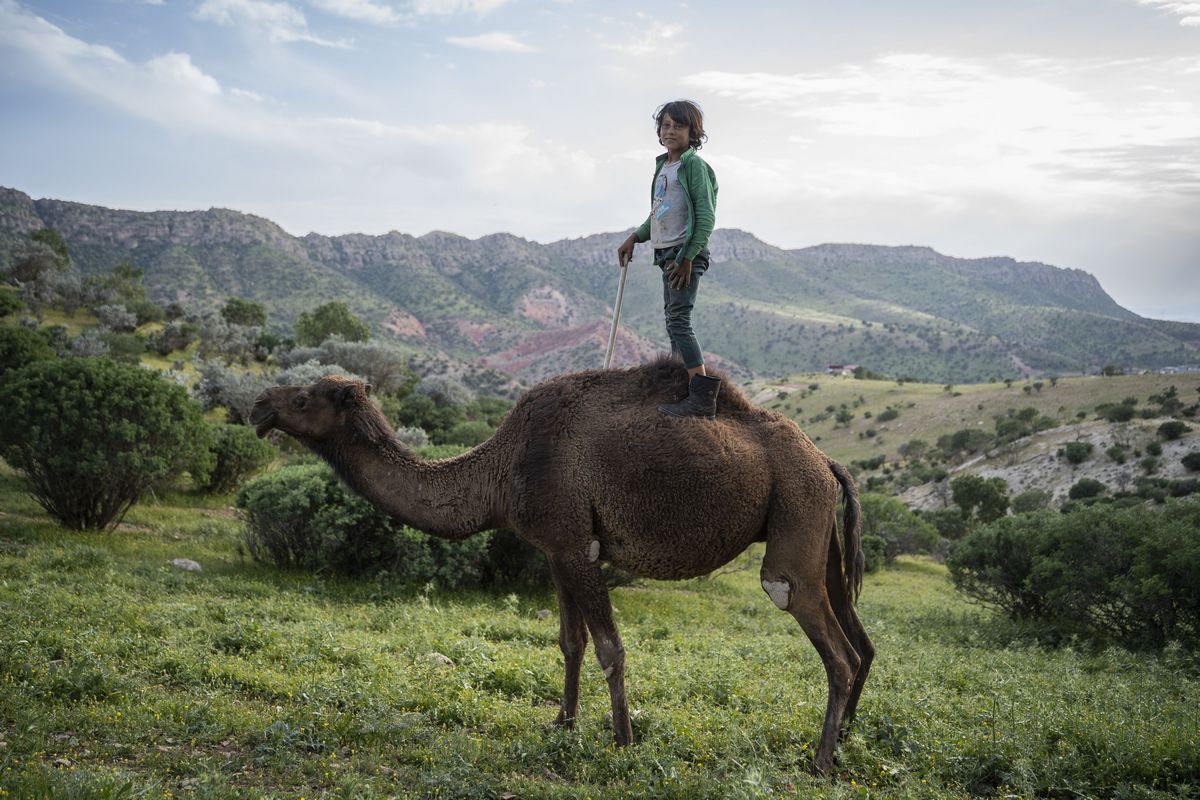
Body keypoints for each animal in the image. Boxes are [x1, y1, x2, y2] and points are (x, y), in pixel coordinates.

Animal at [250, 359, 873, 772]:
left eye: (305, 399)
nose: (259, 405)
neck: (499, 471)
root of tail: (826, 459)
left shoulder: (576, 546)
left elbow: (609, 647)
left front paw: (623, 741)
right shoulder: (555, 549)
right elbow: (570, 642)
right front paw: (563, 723)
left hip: (794, 520)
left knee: (822, 633)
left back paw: (820, 762)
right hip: (818, 530)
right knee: (861, 642)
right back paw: (845, 740)